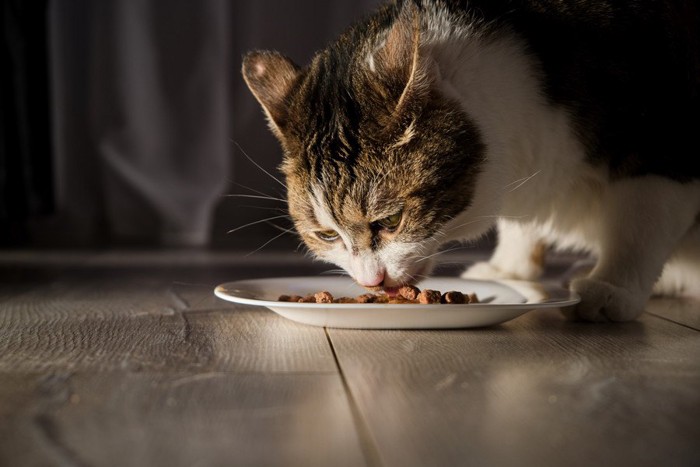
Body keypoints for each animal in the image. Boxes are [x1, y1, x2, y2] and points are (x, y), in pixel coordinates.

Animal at [242, 0, 700, 322]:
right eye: (326, 235)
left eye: (390, 221)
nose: (372, 281)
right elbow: (523, 225)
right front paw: (510, 269)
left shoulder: (664, 142)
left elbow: (641, 221)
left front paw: (612, 285)